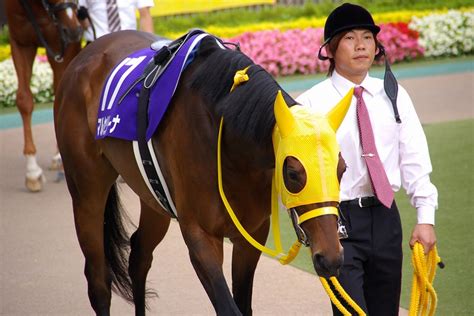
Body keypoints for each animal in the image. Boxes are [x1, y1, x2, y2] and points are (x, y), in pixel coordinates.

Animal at [55, 30, 352, 316]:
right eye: (292, 173)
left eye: (342, 169)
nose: (331, 258)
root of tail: (86, 55)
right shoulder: (200, 235)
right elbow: (228, 307)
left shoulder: (252, 233)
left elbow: (243, 303)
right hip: (86, 193)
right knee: (98, 281)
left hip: (152, 197)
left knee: (139, 256)